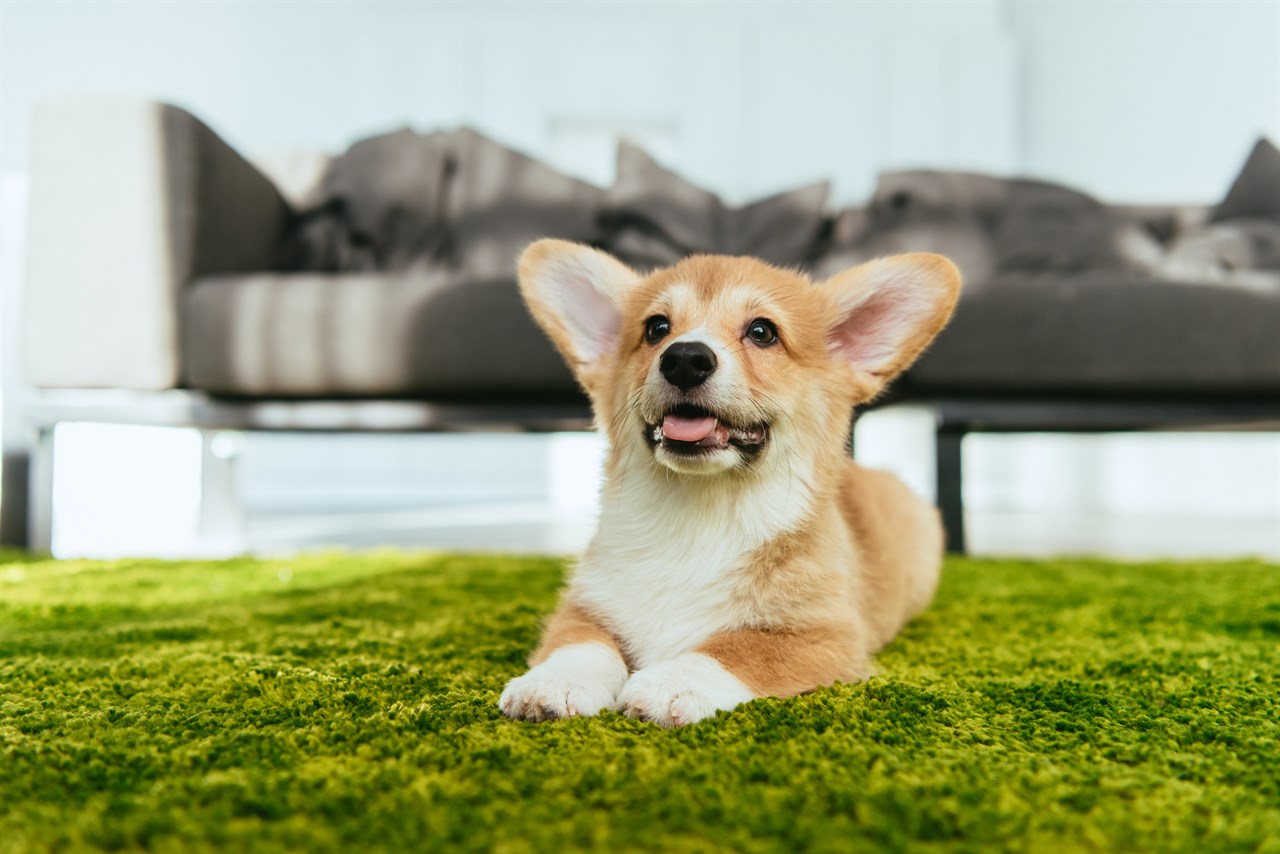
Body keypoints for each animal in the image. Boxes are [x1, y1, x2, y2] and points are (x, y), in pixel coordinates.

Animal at [499, 240, 962, 727]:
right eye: (656, 328)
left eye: (762, 332)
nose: (684, 358)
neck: (700, 514)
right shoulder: (585, 604)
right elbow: (580, 643)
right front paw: (554, 683)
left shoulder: (826, 636)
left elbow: (738, 648)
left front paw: (671, 684)